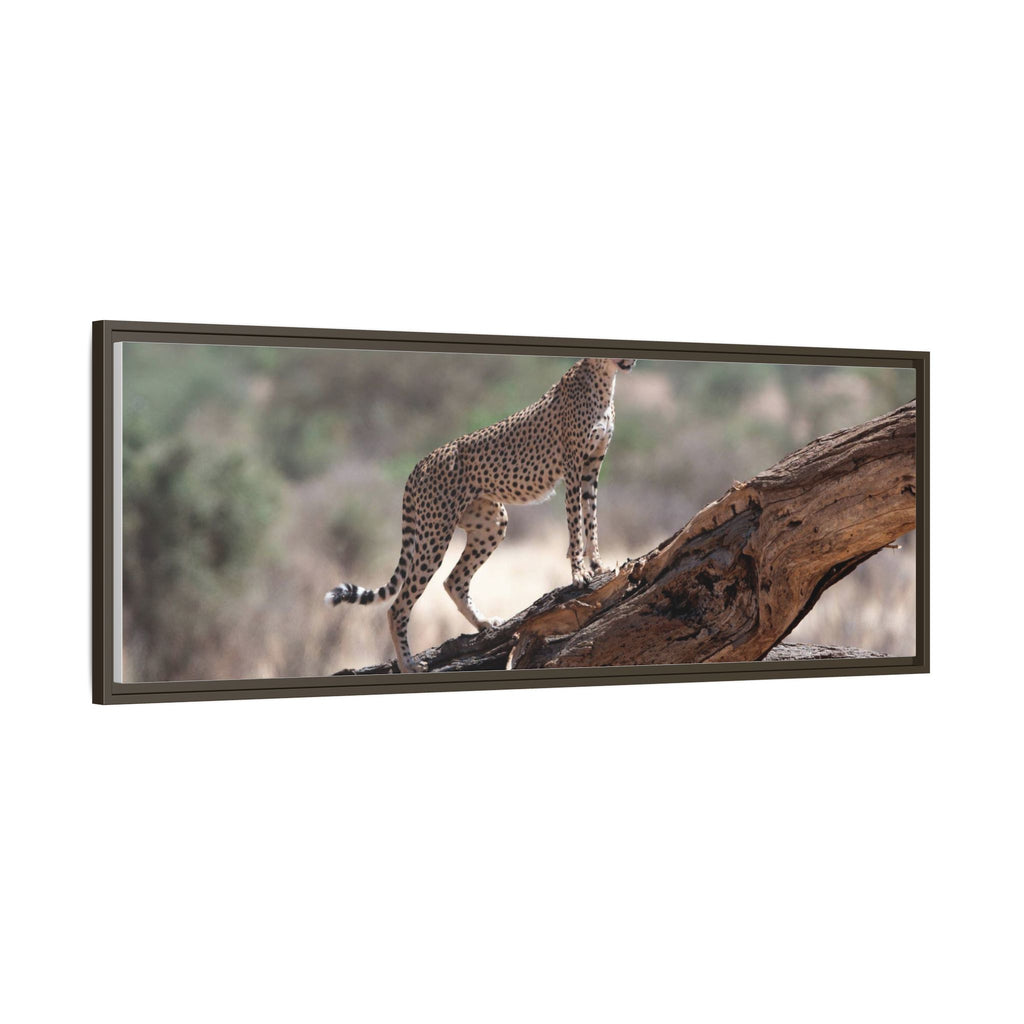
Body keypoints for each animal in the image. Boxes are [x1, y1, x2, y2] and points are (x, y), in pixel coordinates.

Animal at [324, 356, 636, 672]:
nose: (631, 360)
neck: (603, 379)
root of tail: (421, 462)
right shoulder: (573, 467)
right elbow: (575, 523)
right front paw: (579, 573)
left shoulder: (592, 467)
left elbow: (591, 518)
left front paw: (598, 565)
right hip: (435, 534)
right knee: (398, 605)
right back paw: (408, 664)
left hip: (491, 523)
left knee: (453, 581)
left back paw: (484, 623)